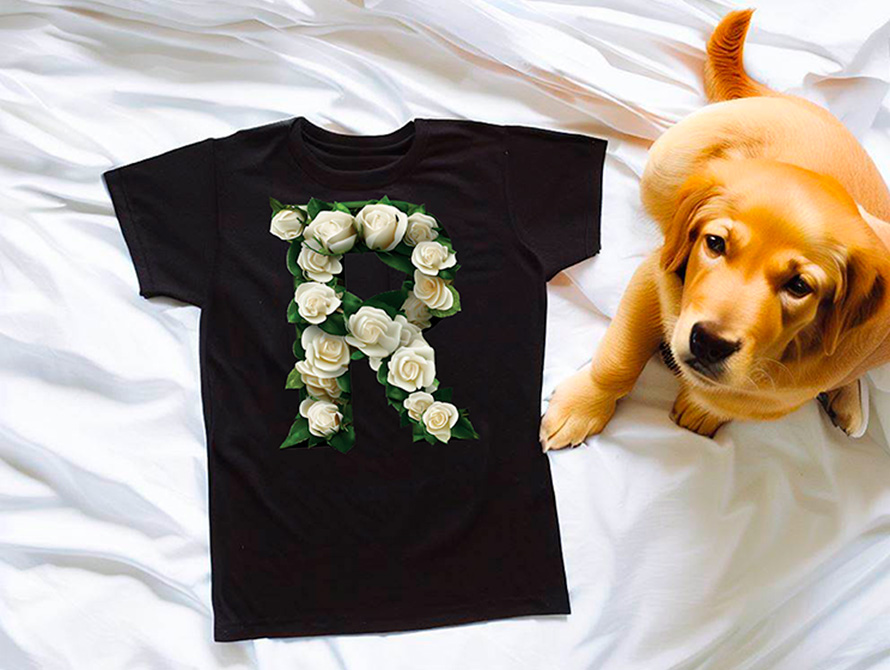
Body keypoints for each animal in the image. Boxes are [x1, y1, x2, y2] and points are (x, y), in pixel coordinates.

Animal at [536, 9, 888, 452]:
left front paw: (703, 408)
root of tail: (783, 99)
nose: (709, 342)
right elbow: (620, 356)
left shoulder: (788, 388)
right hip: (668, 161)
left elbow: (741, 400)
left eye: (799, 286)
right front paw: (584, 405)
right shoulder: (654, 278)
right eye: (715, 244)